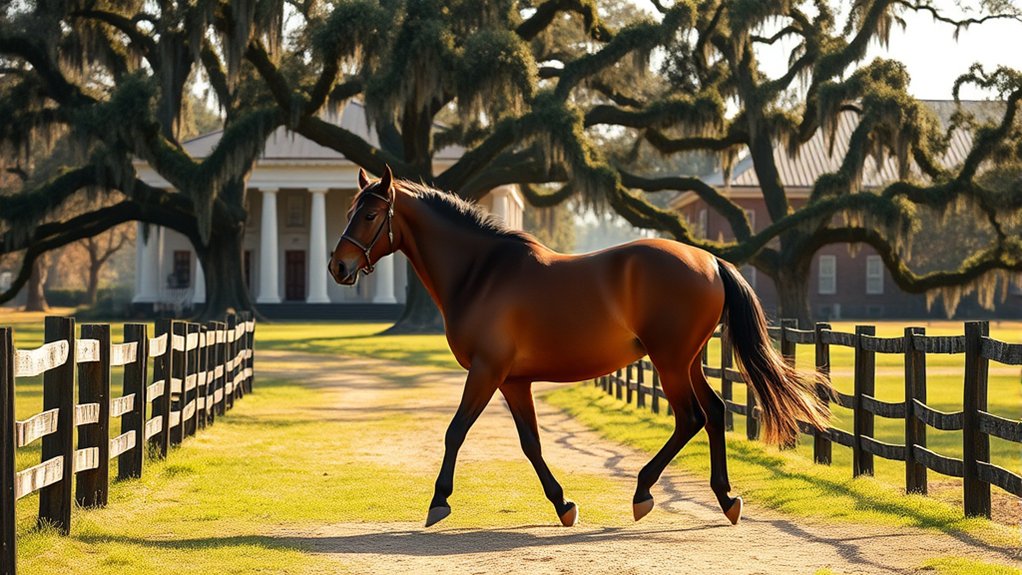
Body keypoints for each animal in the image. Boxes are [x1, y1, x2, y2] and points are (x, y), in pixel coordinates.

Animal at [329, 166, 830, 528]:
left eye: (369, 215)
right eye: (350, 210)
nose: (338, 266)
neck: (482, 273)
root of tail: (709, 259)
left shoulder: (486, 372)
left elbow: (456, 431)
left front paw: (437, 502)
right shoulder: (513, 381)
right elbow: (531, 443)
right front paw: (563, 505)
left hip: (669, 360)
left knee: (690, 417)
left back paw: (643, 493)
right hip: (685, 361)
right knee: (714, 412)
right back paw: (725, 499)